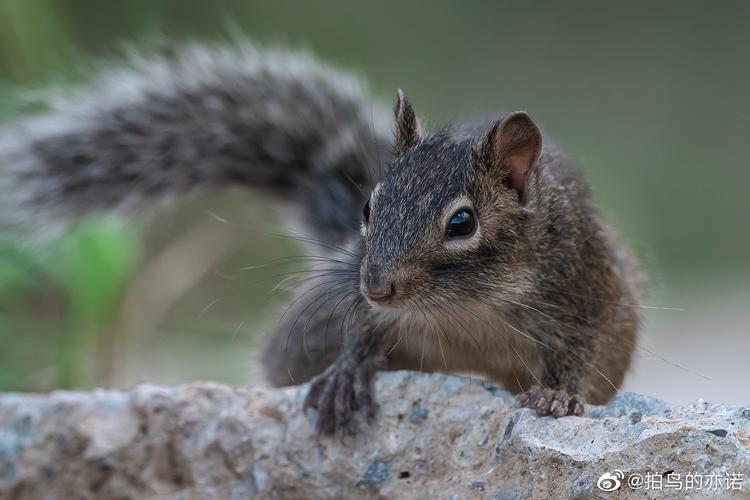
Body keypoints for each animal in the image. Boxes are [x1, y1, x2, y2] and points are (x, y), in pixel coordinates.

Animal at [1, 40, 648, 434]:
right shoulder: (356, 302)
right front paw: (348, 371)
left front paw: (558, 395)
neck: (467, 310)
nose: (377, 286)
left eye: (463, 222)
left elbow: (576, 353)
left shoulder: (586, 289)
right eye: (368, 204)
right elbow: (360, 331)